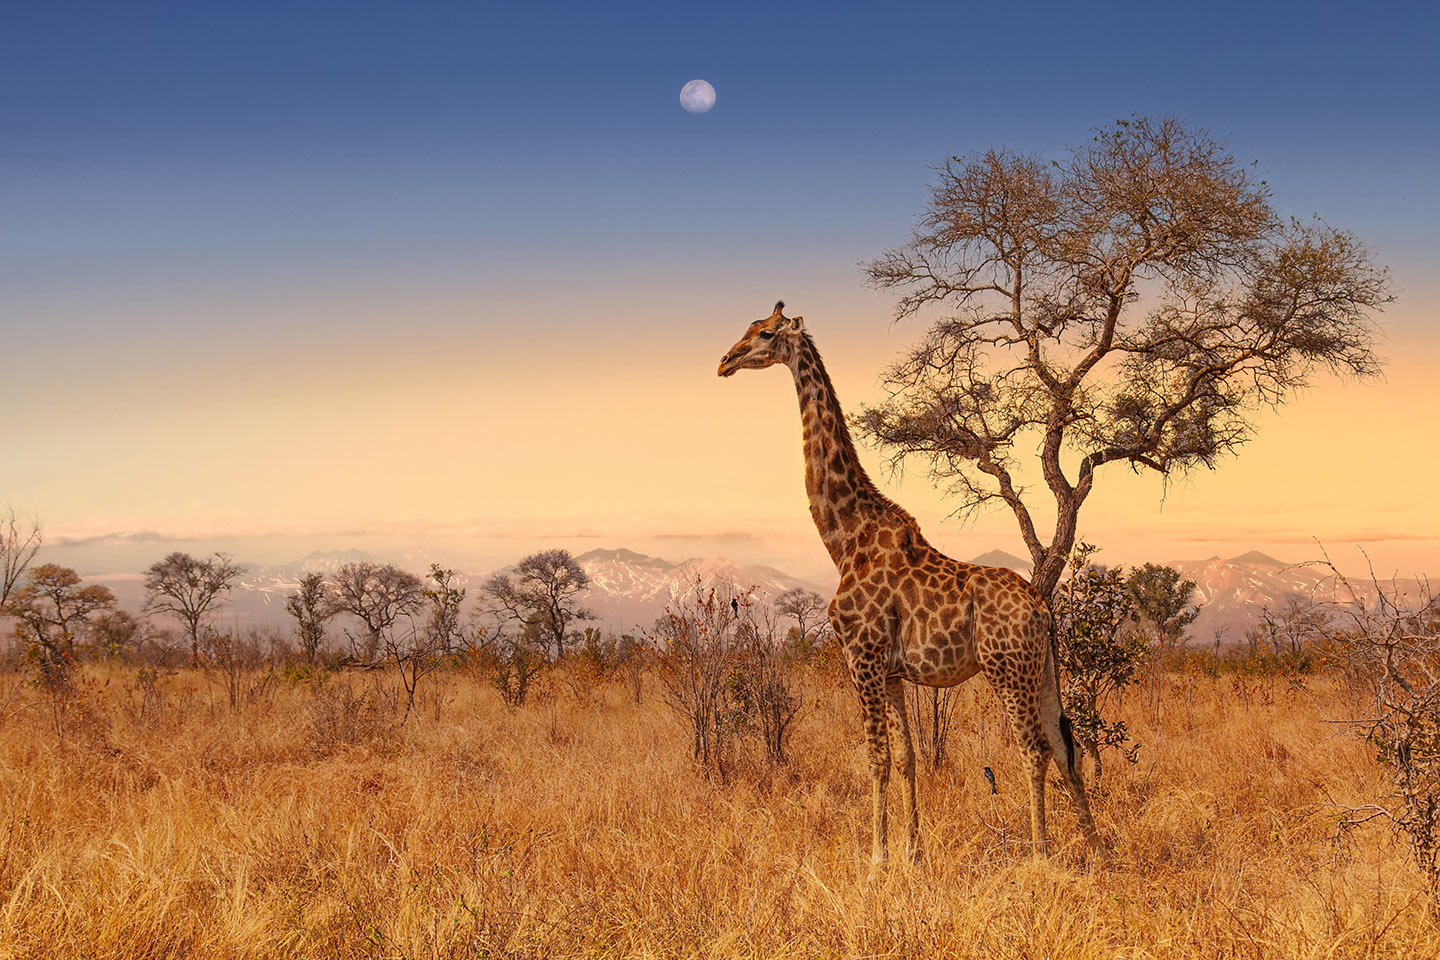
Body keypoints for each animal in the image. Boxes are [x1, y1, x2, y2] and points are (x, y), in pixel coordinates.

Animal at [717, 301, 1100, 863]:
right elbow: (906, 757)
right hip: (1045, 668)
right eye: (746, 330)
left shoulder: (862, 656)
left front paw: (876, 857)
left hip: (1006, 668)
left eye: (764, 334)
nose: (725, 361)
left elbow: (875, 758)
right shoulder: (893, 671)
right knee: (1064, 744)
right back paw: (1100, 850)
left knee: (1034, 748)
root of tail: (1042, 608)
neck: (844, 538)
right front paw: (911, 853)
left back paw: (1040, 853)